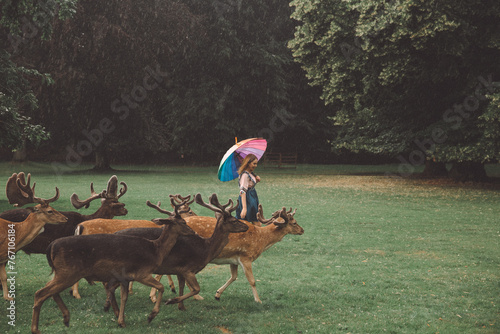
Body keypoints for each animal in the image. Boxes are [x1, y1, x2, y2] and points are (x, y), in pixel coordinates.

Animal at [29, 197, 197, 332]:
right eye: (183, 222)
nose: (194, 233)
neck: (156, 250)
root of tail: (51, 247)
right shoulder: (141, 272)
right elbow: (160, 287)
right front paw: (151, 316)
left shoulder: (125, 277)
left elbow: (123, 297)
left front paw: (121, 321)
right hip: (68, 272)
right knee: (40, 293)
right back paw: (36, 328)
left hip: (62, 272)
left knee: (50, 291)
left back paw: (66, 318)